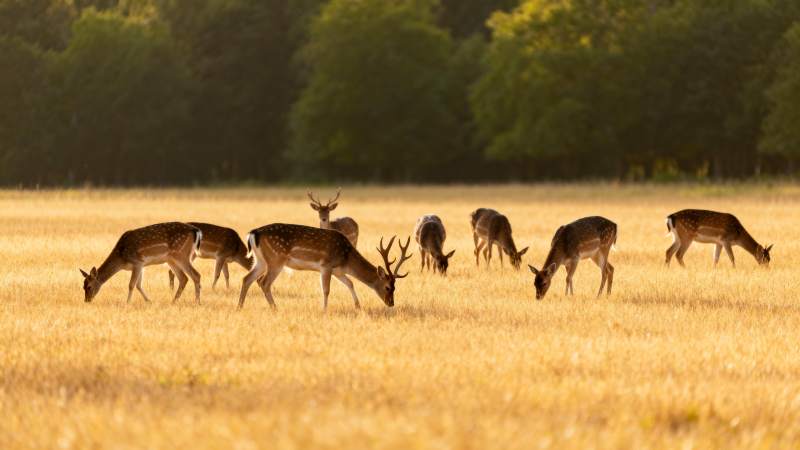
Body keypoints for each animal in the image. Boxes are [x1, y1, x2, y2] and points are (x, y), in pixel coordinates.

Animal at [237, 223, 412, 310]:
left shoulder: (338, 271)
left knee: (247, 279)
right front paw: (324, 310)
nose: (391, 303)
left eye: (395, 287)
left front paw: (358, 306)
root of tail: (253, 233)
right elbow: (326, 290)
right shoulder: (326, 266)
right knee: (264, 282)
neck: (346, 259)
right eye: (388, 287)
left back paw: (239, 307)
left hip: (260, 260)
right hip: (276, 259)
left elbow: (350, 283)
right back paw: (275, 308)